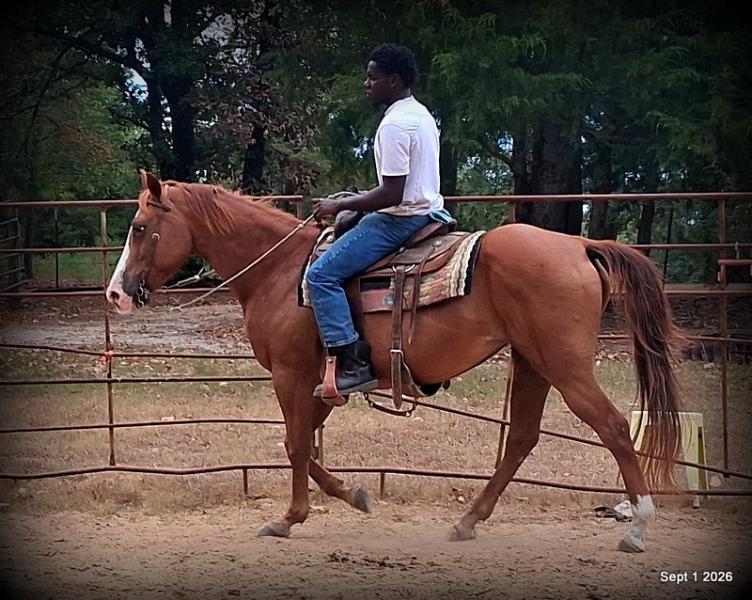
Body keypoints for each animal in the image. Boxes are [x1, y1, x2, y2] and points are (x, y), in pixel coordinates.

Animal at [106, 171, 684, 553]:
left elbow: (294, 445)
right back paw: (467, 521)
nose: (116, 293)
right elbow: (302, 444)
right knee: (521, 437)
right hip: (532, 362)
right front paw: (353, 495)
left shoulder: (291, 374)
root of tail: (580, 244)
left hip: (565, 364)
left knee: (612, 426)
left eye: (138, 226)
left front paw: (289, 518)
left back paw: (638, 524)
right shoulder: (324, 381)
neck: (281, 271)